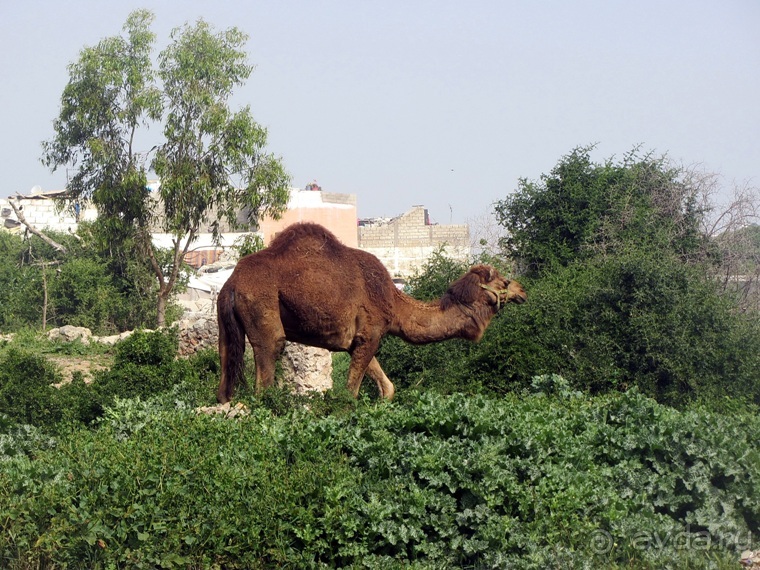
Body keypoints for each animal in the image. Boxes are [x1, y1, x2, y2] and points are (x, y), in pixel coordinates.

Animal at [214, 220, 524, 402]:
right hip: (262, 306)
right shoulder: (371, 333)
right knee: (267, 367)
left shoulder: (360, 339)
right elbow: (350, 394)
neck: (394, 302)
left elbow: (388, 388)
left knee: (226, 374)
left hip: (225, 325)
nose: (522, 291)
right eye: (503, 282)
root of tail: (231, 283)